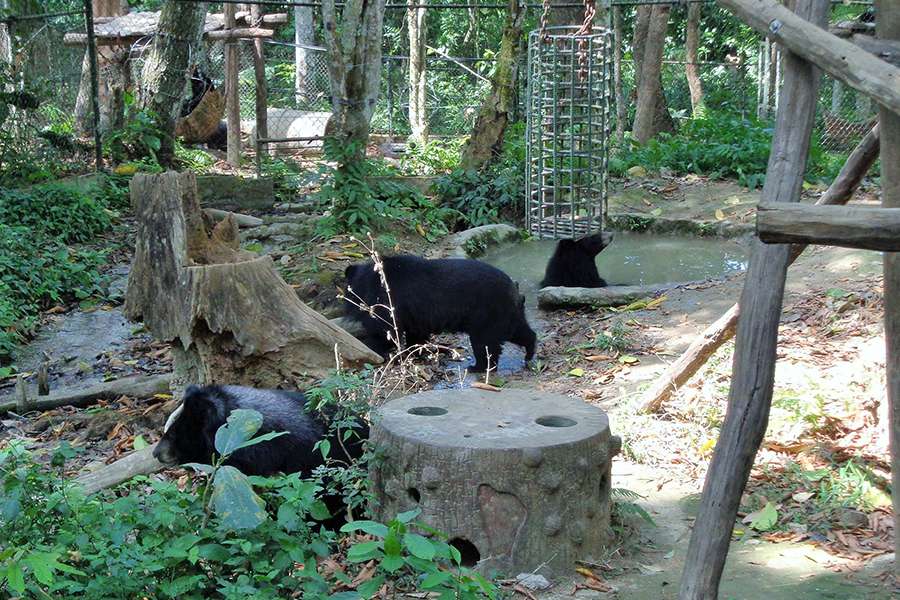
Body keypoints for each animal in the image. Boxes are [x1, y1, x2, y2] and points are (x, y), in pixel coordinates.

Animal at [344, 255, 536, 372]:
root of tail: (514, 289)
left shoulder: (389, 302)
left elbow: (385, 330)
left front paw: (373, 348)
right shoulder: (415, 314)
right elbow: (414, 333)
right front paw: (416, 352)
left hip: (487, 312)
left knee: (484, 343)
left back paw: (478, 367)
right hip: (506, 313)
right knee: (519, 332)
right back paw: (529, 353)